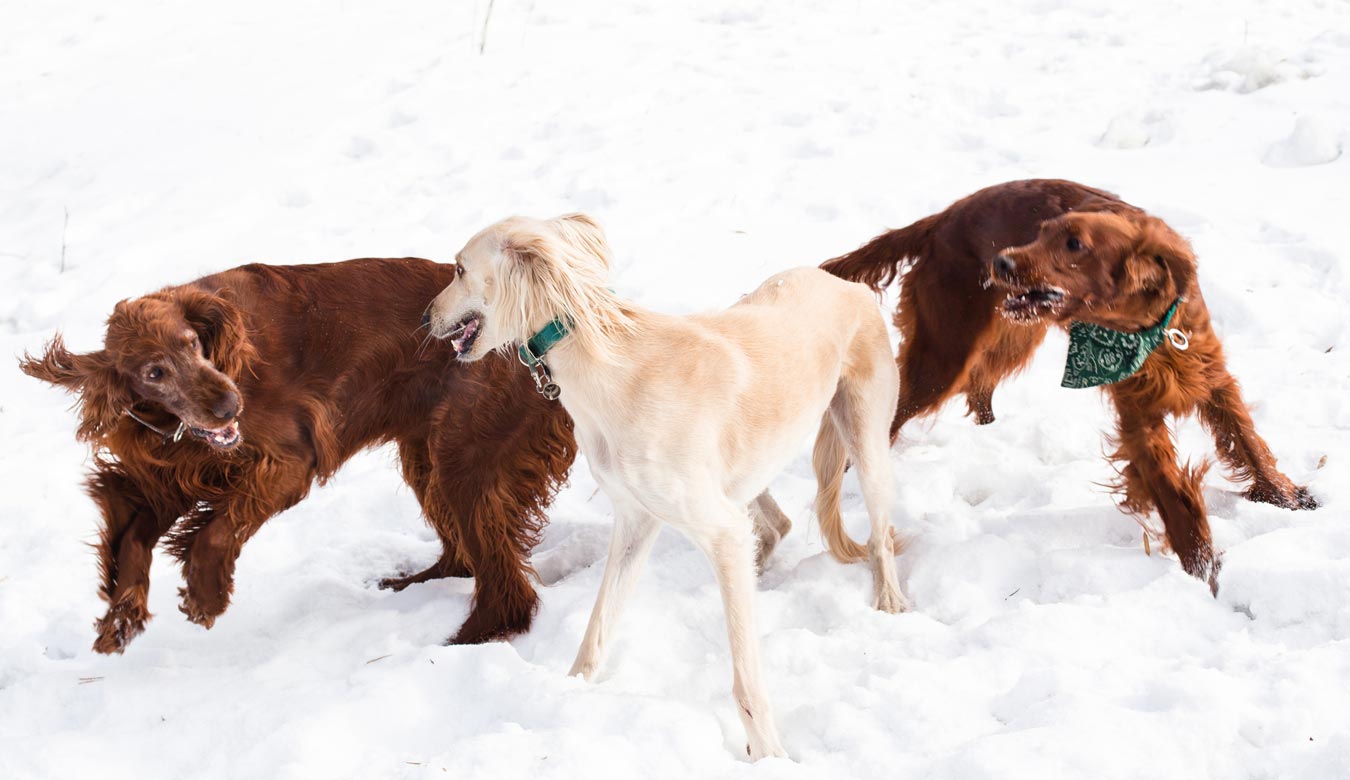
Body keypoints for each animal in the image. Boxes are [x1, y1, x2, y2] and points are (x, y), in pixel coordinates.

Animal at [18, 257, 575, 653]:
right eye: (154, 372)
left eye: (193, 342)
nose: (229, 406)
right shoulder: (170, 476)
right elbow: (133, 539)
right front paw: (121, 620)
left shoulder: (285, 462)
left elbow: (217, 532)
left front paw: (205, 595)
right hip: (428, 458)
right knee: (463, 556)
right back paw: (415, 584)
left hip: (464, 456)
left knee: (503, 582)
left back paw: (468, 637)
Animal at [426, 214, 912, 761]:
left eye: (459, 269)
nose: (426, 317)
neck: (610, 370)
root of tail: (845, 285)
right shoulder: (637, 521)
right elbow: (598, 628)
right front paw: (570, 692)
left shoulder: (718, 529)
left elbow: (745, 671)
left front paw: (768, 751)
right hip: (744, 473)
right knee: (777, 524)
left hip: (866, 442)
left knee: (879, 534)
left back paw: (889, 599)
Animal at [820, 178, 1317, 588]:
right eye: (1039, 234)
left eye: (1075, 243)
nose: (1001, 260)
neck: (1144, 329)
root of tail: (940, 220)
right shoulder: (1138, 418)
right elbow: (1172, 494)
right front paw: (1202, 569)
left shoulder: (1211, 377)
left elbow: (1248, 441)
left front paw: (1287, 499)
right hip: (945, 350)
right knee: (894, 409)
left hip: (1013, 332)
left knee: (980, 384)